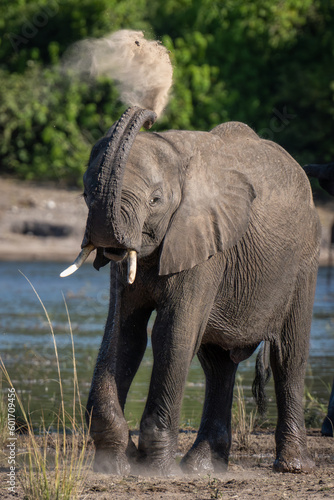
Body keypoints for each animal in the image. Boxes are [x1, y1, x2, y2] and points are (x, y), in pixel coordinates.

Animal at [62, 107, 320, 474]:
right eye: (85, 194)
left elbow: (172, 333)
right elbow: (124, 333)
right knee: (217, 364)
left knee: (288, 356)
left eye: (155, 200)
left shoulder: (206, 243)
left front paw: (156, 470)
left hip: (304, 259)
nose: (149, 117)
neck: (175, 156)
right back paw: (202, 467)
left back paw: (293, 467)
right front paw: (116, 463)